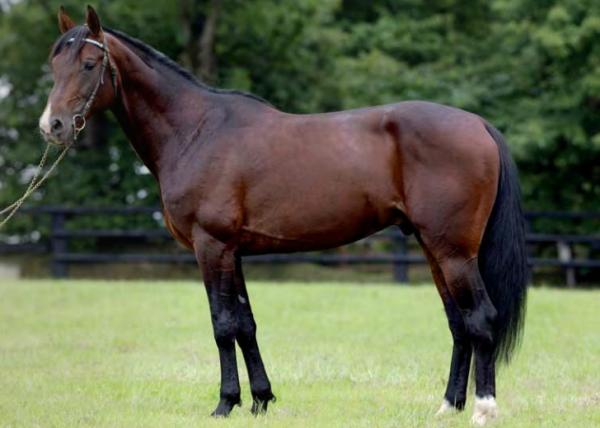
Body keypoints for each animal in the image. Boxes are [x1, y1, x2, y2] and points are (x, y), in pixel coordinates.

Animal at [41, 6, 524, 424]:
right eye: (54, 65)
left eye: (89, 64)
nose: (53, 126)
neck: (196, 131)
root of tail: (479, 124)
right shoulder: (232, 252)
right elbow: (245, 324)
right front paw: (260, 400)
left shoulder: (211, 246)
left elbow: (222, 326)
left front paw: (225, 403)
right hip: (432, 247)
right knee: (458, 322)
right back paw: (447, 407)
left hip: (454, 251)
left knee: (481, 318)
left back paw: (483, 410)